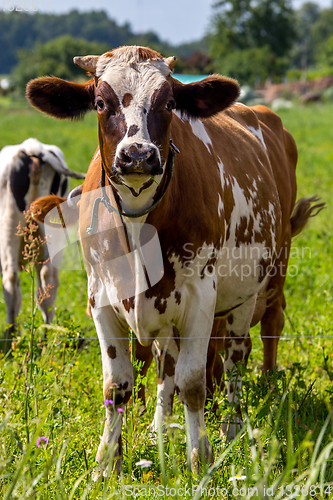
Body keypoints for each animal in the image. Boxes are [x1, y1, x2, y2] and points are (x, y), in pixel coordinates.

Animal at [0, 137, 85, 348]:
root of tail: (33, 147)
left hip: (8, 230)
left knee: (11, 281)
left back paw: (12, 337)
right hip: (53, 233)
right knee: (48, 282)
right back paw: (47, 339)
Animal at [26, 46, 320, 476]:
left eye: (167, 103)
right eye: (100, 103)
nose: (137, 155)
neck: (138, 220)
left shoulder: (200, 296)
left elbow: (194, 383)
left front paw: (201, 460)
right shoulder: (101, 299)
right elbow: (118, 385)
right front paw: (106, 463)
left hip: (252, 290)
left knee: (238, 356)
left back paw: (232, 430)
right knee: (167, 367)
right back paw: (158, 432)